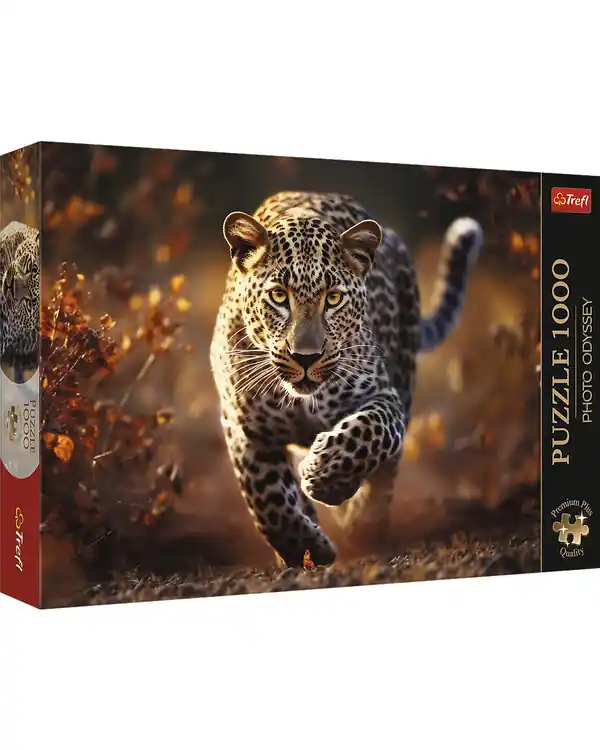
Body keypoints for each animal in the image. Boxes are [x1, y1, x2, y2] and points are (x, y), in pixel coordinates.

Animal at [210, 191, 483, 568]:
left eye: (333, 298)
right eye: (279, 296)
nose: (305, 357)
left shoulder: (383, 396)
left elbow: (368, 433)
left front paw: (324, 476)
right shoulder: (243, 426)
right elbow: (267, 499)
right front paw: (304, 549)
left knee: (386, 473)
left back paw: (364, 524)